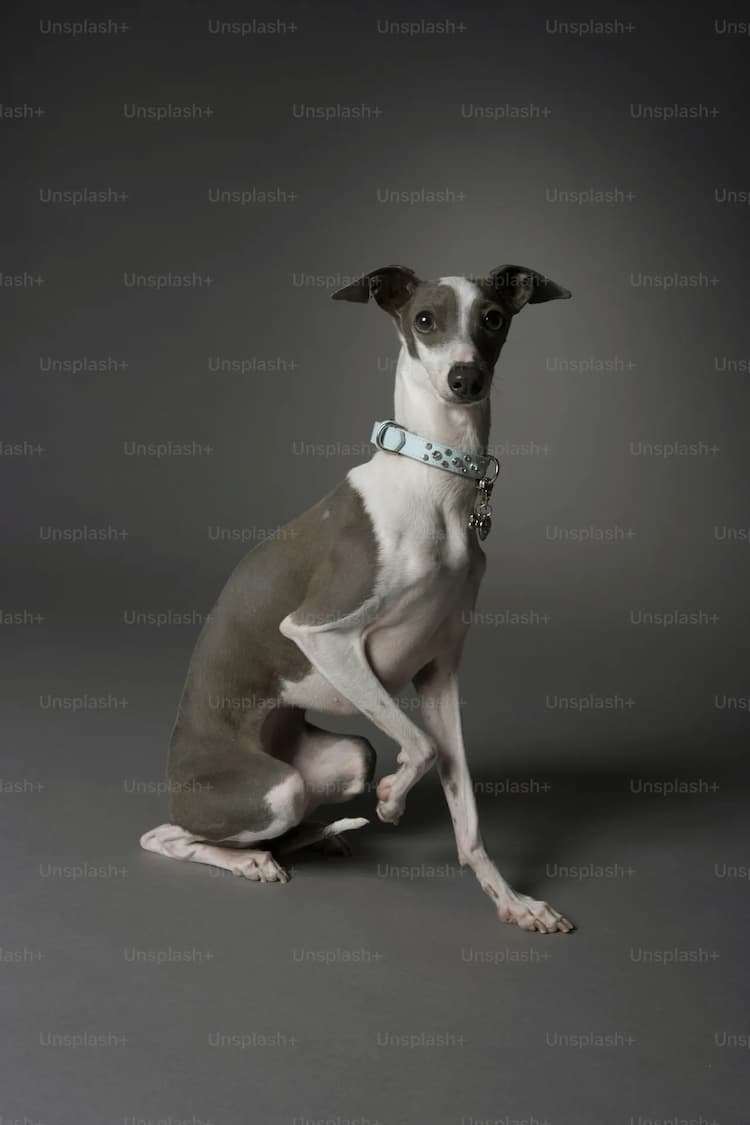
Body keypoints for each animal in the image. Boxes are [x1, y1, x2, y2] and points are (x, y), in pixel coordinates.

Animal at [140, 261, 575, 931]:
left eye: (494, 318)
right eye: (424, 319)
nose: (465, 378)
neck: (434, 478)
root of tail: (175, 773)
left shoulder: (440, 673)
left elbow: (464, 804)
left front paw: (512, 902)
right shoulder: (321, 632)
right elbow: (421, 745)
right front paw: (393, 801)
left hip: (347, 758)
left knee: (302, 808)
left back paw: (312, 842)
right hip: (271, 790)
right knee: (169, 835)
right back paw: (252, 860)